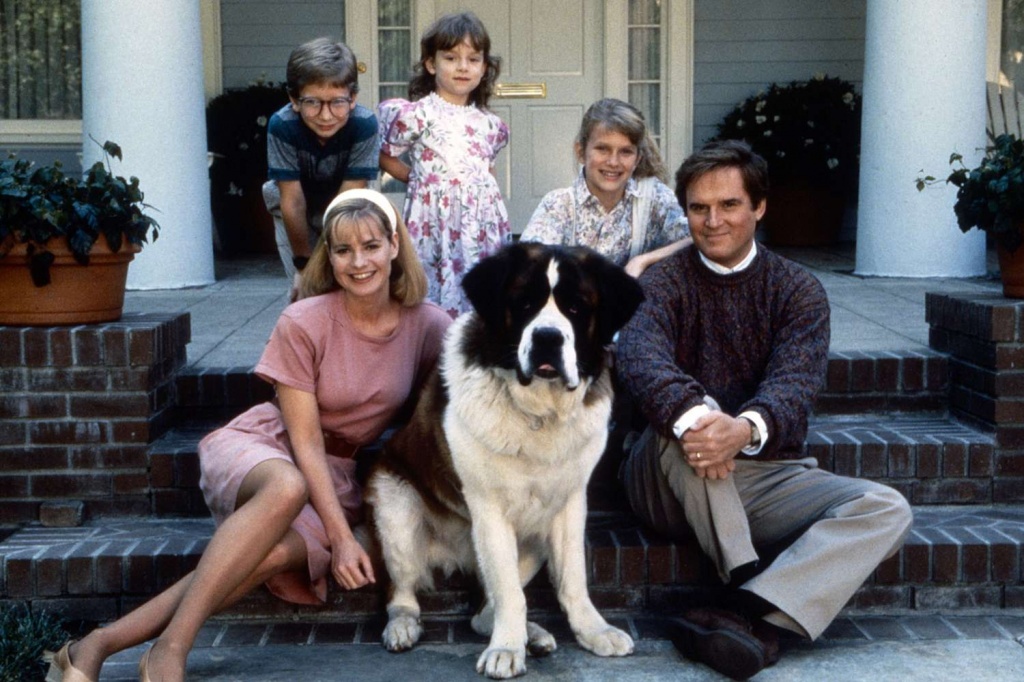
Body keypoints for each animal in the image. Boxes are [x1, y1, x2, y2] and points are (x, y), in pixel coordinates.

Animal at [366, 242, 645, 679]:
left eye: (577, 307)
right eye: (524, 303)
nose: (547, 337)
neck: (539, 412)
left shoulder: (570, 504)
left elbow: (573, 578)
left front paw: (593, 631)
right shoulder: (489, 508)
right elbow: (510, 592)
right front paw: (507, 650)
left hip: (533, 537)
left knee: (484, 611)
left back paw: (534, 634)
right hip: (396, 510)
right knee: (404, 589)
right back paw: (403, 627)